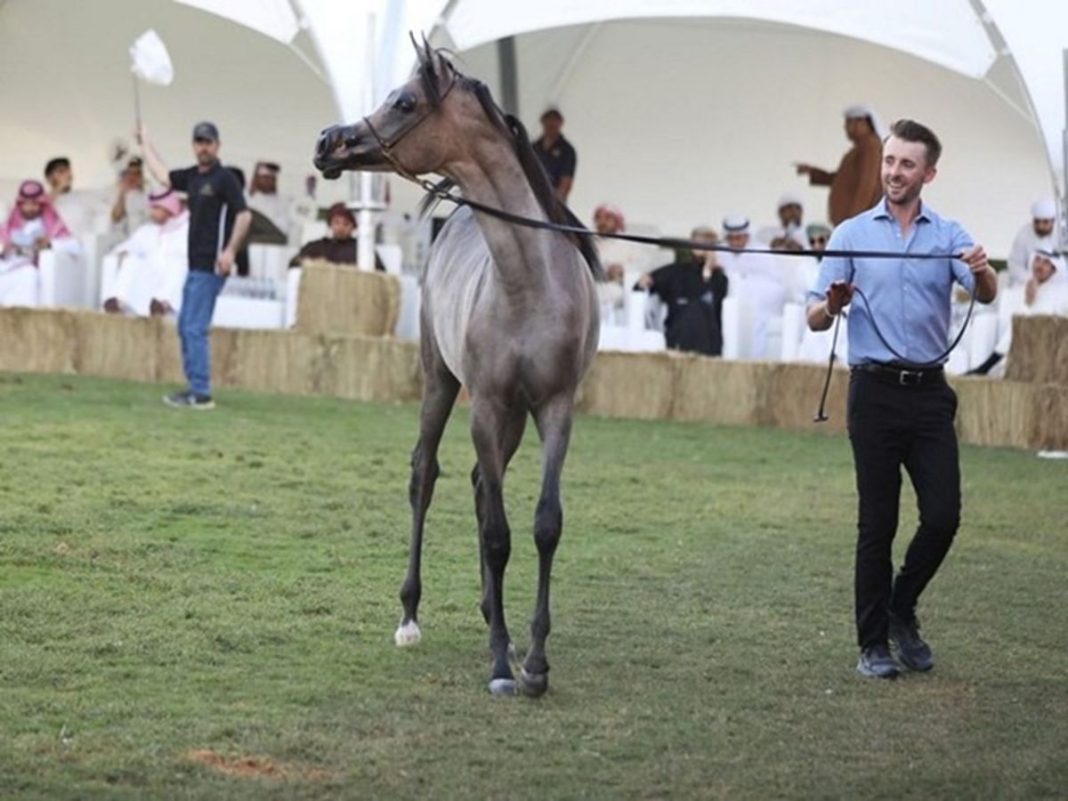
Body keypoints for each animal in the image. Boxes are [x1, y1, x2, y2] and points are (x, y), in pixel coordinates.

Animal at [313, 41, 602, 697]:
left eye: (403, 101)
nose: (328, 142)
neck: (529, 285)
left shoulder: (555, 410)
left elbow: (544, 525)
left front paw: (535, 662)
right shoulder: (486, 408)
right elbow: (497, 535)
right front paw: (500, 666)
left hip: (512, 419)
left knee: (475, 484)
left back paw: (493, 615)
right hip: (441, 384)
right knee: (426, 475)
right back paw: (411, 618)